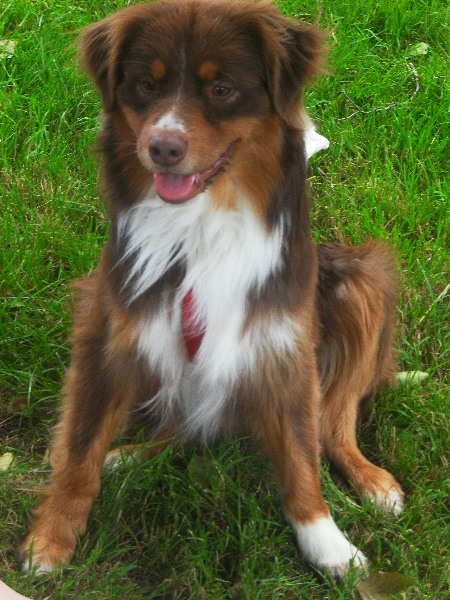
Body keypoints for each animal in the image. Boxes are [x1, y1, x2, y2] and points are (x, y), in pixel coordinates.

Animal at [20, 0, 404, 580]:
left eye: (221, 89)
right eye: (146, 85)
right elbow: (81, 445)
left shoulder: (281, 340)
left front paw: (327, 544)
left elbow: (301, 451)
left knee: (332, 422)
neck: (202, 220)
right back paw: (126, 457)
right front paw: (51, 539)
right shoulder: (111, 327)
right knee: (180, 424)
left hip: (363, 285)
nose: (162, 147)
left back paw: (373, 481)